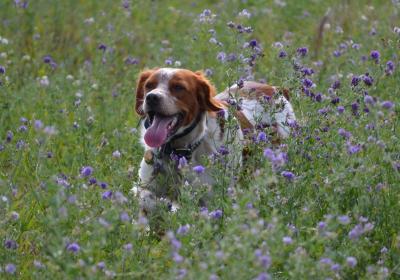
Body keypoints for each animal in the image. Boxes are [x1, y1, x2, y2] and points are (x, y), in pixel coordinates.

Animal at [133, 68, 296, 214]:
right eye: (149, 85)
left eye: (178, 87)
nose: (151, 97)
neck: (181, 150)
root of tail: (275, 89)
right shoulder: (147, 185)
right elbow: (146, 199)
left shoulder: (213, 199)